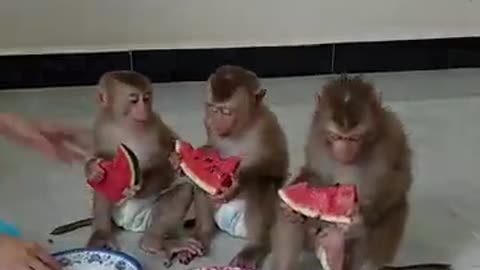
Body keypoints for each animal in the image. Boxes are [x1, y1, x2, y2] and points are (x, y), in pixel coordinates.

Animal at [56, 70, 197, 258]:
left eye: (147, 98)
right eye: (134, 100)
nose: (143, 109)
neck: (127, 123)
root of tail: (128, 224)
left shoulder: (155, 120)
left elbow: (169, 144)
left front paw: (176, 160)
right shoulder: (101, 125)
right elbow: (100, 156)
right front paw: (93, 168)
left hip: (148, 217)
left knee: (183, 191)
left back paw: (152, 242)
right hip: (116, 211)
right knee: (102, 187)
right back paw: (101, 235)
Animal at [171, 65, 290, 268]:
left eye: (226, 111)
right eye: (213, 109)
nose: (217, 121)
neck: (241, 128)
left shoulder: (268, 125)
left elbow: (276, 166)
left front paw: (238, 181)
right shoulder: (208, 122)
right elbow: (209, 150)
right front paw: (179, 159)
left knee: (261, 185)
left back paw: (255, 246)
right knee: (201, 188)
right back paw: (202, 233)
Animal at [272, 75, 452, 270]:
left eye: (354, 138)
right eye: (337, 137)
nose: (344, 151)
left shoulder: (395, 135)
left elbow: (401, 177)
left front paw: (360, 218)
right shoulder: (316, 138)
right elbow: (315, 173)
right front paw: (294, 206)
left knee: (394, 209)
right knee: (290, 223)